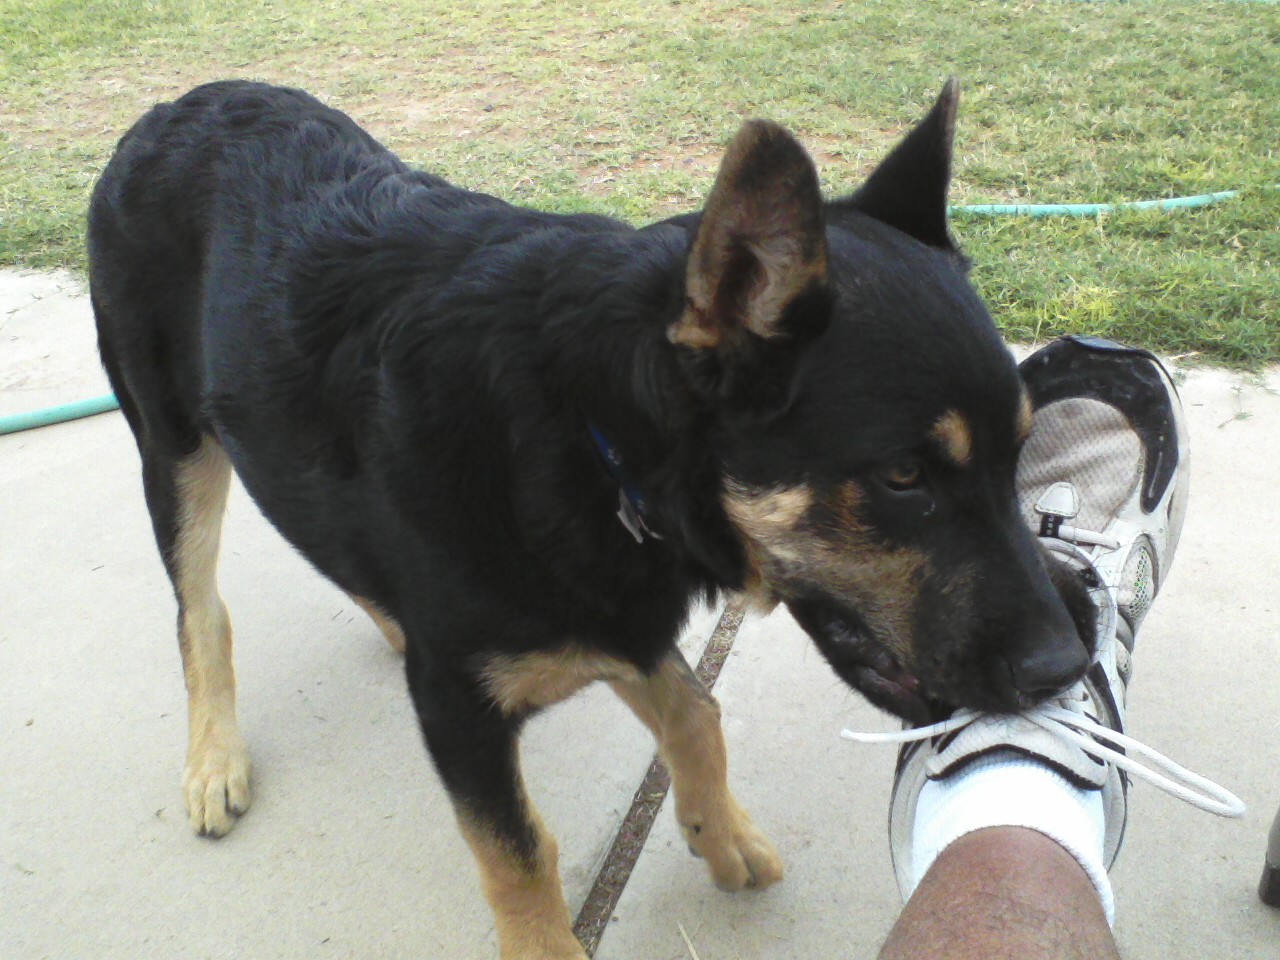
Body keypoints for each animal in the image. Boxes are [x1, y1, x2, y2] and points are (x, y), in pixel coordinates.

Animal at [89, 78, 1096, 959]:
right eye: (902, 476)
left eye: (1020, 449)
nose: (1068, 668)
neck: (593, 431)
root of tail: (172, 108)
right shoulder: (462, 704)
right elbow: (518, 852)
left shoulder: (618, 611)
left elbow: (696, 710)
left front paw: (717, 831)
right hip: (175, 446)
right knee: (199, 611)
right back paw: (213, 757)